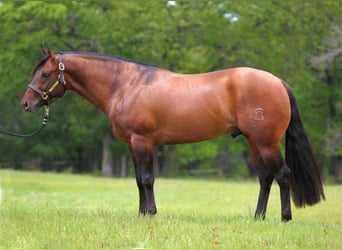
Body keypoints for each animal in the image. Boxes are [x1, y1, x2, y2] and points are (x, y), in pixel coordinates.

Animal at [20, 48, 324, 221]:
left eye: (45, 74)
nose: (26, 103)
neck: (127, 84)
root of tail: (278, 82)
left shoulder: (143, 141)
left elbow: (147, 179)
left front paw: (151, 214)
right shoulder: (132, 145)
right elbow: (138, 181)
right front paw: (142, 213)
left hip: (266, 142)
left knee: (283, 175)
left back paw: (285, 218)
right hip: (253, 143)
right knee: (265, 178)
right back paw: (258, 217)